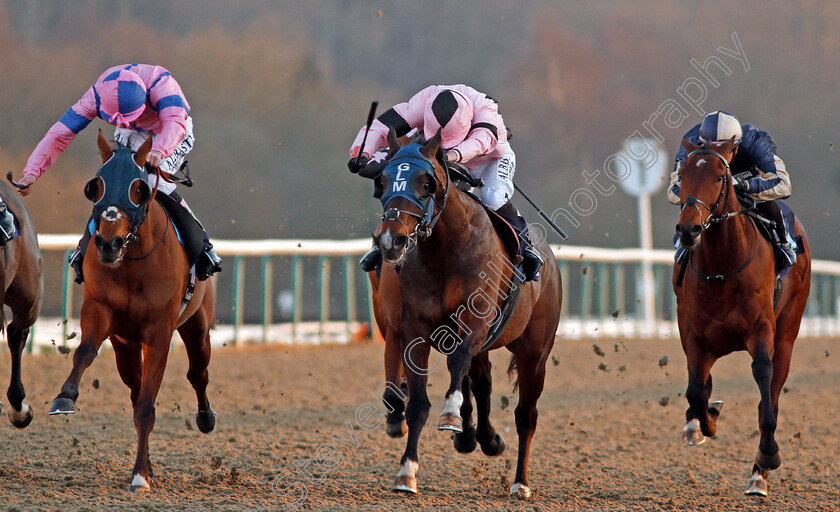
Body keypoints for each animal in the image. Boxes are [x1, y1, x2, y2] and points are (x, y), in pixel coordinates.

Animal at [48, 132, 217, 492]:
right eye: (96, 186)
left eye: (138, 187)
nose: (108, 243)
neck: (132, 262)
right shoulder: (102, 312)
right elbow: (85, 352)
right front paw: (65, 397)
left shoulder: (159, 331)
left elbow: (146, 406)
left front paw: (139, 475)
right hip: (126, 344)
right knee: (135, 386)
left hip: (197, 326)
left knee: (198, 373)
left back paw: (205, 418)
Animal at [372, 130, 556, 498]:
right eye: (382, 180)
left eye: (426, 183)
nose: (391, 241)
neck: (446, 249)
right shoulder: (414, 331)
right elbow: (417, 403)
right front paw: (406, 472)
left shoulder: (473, 323)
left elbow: (458, 366)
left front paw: (451, 415)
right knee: (483, 384)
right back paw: (486, 440)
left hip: (535, 353)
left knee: (526, 415)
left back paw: (520, 482)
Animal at [672, 136, 812, 496]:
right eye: (683, 176)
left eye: (719, 178)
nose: (689, 228)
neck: (722, 267)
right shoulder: (694, 336)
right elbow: (696, 391)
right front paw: (703, 422)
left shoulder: (761, 330)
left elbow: (763, 385)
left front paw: (768, 457)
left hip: (787, 333)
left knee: (771, 394)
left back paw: (759, 472)